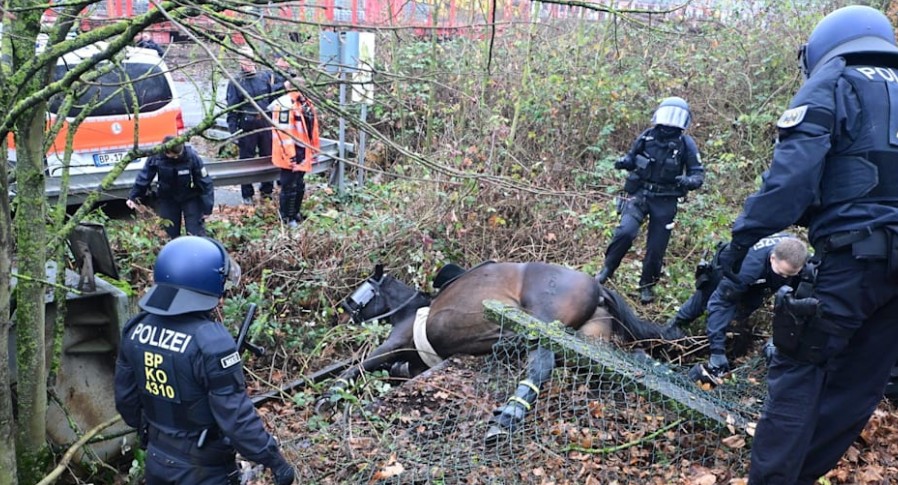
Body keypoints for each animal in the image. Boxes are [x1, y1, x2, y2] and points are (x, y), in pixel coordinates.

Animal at [317, 261, 684, 442]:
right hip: (590, 344)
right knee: (626, 365)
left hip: (543, 324)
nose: (343, 312)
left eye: (361, 290)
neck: (411, 310)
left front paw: (330, 394)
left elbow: (361, 366)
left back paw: (510, 413)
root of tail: (597, 286)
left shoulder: (395, 342)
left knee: (541, 363)